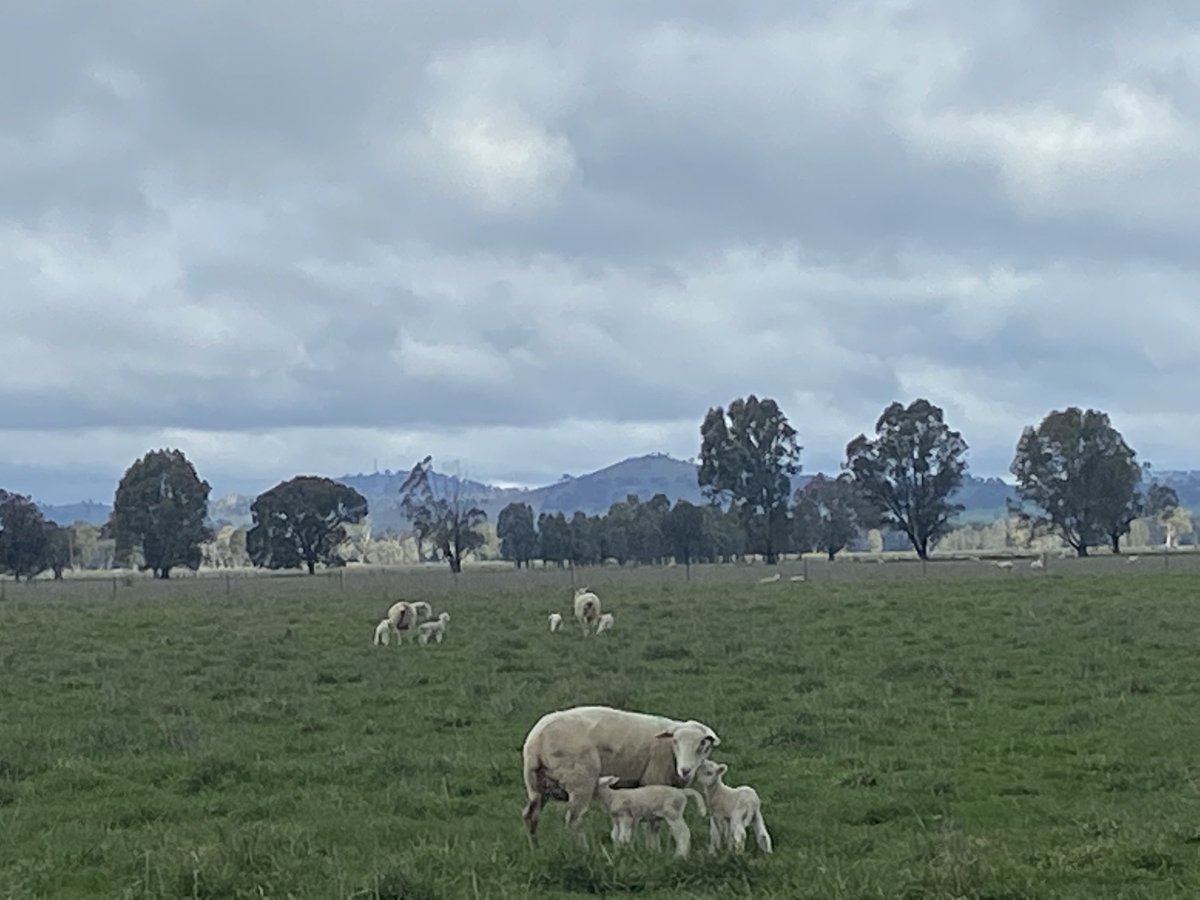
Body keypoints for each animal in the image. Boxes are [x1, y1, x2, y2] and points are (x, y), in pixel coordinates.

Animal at [520, 705, 720, 846]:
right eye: (676, 741)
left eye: (703, 744)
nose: (685, 770)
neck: (670, 751)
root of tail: (537, 739)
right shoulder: (654, 781)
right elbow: (652, 825)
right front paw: (654, 850)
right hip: (581, 780)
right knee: (574, 820)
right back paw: (584, 852)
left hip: (536, 784)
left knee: (530, 816)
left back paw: (535, 848)